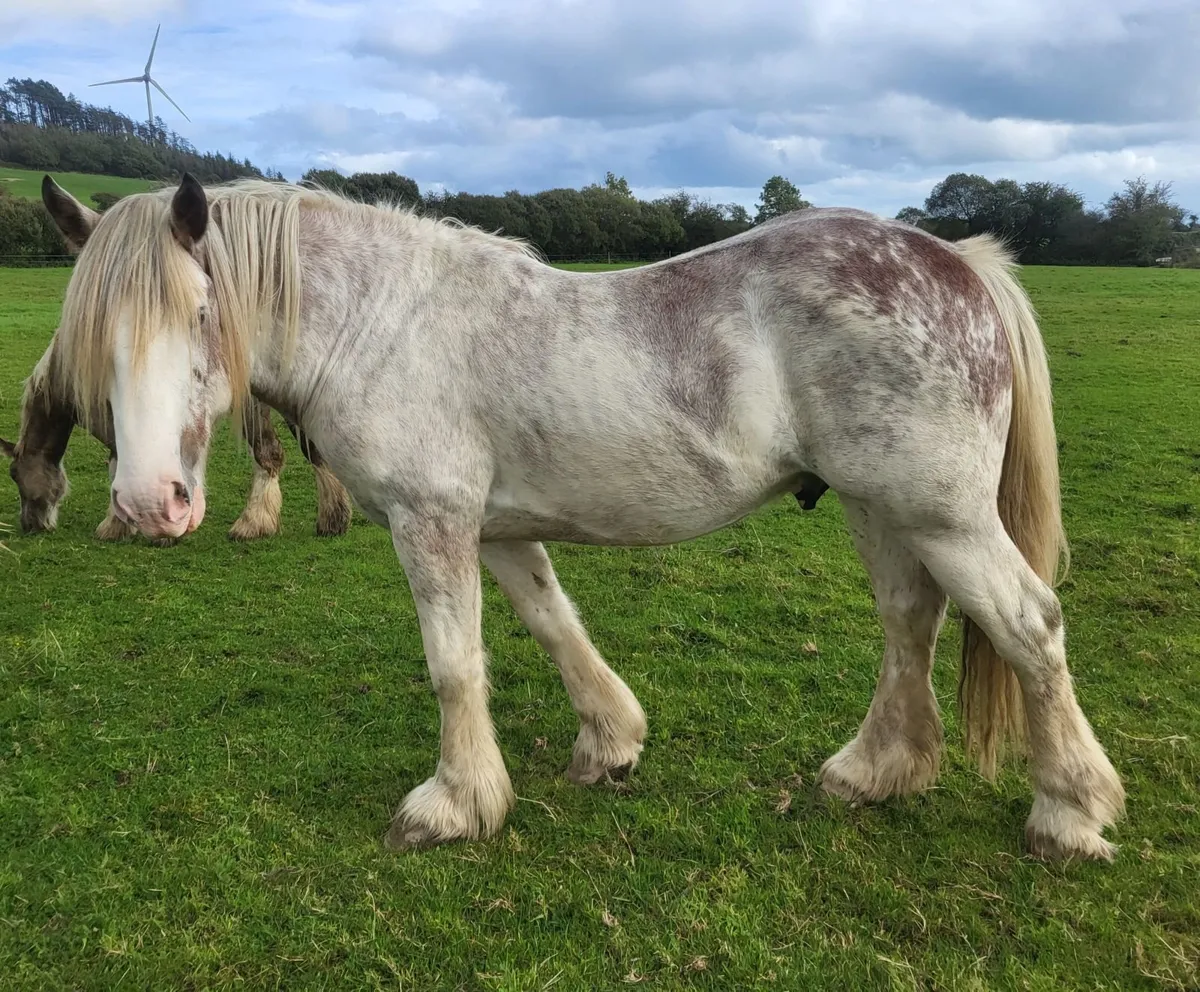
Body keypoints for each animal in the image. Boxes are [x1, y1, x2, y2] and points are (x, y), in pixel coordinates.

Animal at [37, 171, 1125, 861]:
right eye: (95, 336)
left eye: (199, 314)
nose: (147, 503)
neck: (382, 321)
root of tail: (957, 259)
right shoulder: (497, 528)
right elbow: (553, 625)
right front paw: (610, 743)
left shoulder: (432, 521)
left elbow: (453, 662)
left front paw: (454, 806)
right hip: (884, 506)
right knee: (912, 623)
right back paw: (873, 772)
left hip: (938, 513)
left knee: (1027, 625)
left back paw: (1069, 813)